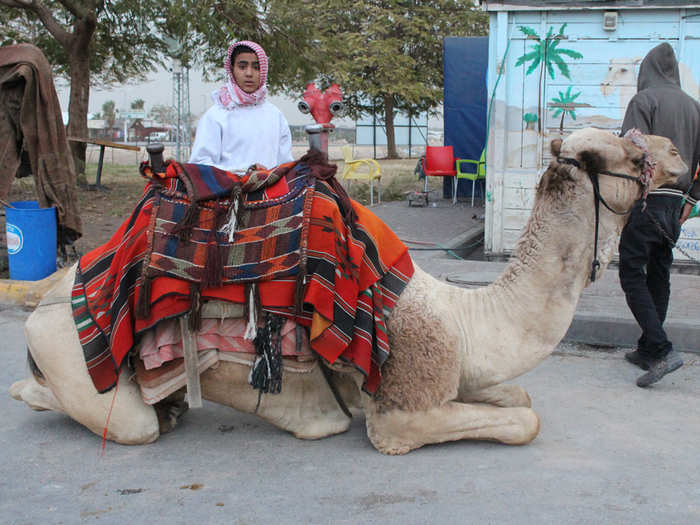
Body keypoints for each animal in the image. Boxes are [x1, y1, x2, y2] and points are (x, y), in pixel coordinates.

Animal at [8, 128, 688, 454]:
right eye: (631, 153)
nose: (678, 152)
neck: (466, 316)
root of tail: (47, 298)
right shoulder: (402, 409)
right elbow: (526, 418)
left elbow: (518, 394)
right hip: (74, 356)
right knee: (113, 418)